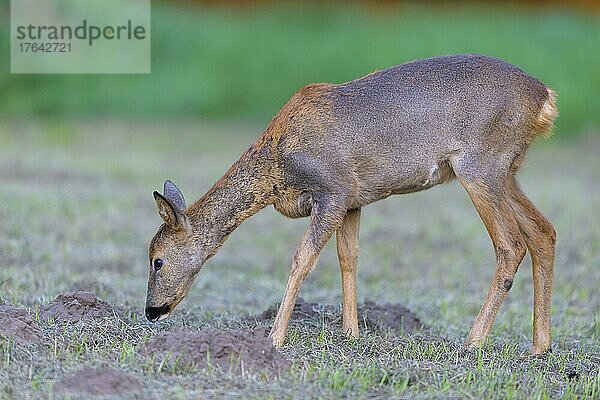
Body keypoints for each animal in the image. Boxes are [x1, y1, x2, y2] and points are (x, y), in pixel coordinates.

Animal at [145, 53, 556, 354]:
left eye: (157, 260)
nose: (151, 311)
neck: (277, 168)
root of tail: (544, 97)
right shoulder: (354, 200)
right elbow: (349, 257)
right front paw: (352, 332)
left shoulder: (333, 189)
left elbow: (302, 260)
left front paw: (274, 338)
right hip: (508, 170)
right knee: (543, 231)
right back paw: (540, 345)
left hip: (480, 165)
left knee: (511, 243)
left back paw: (474, 341)